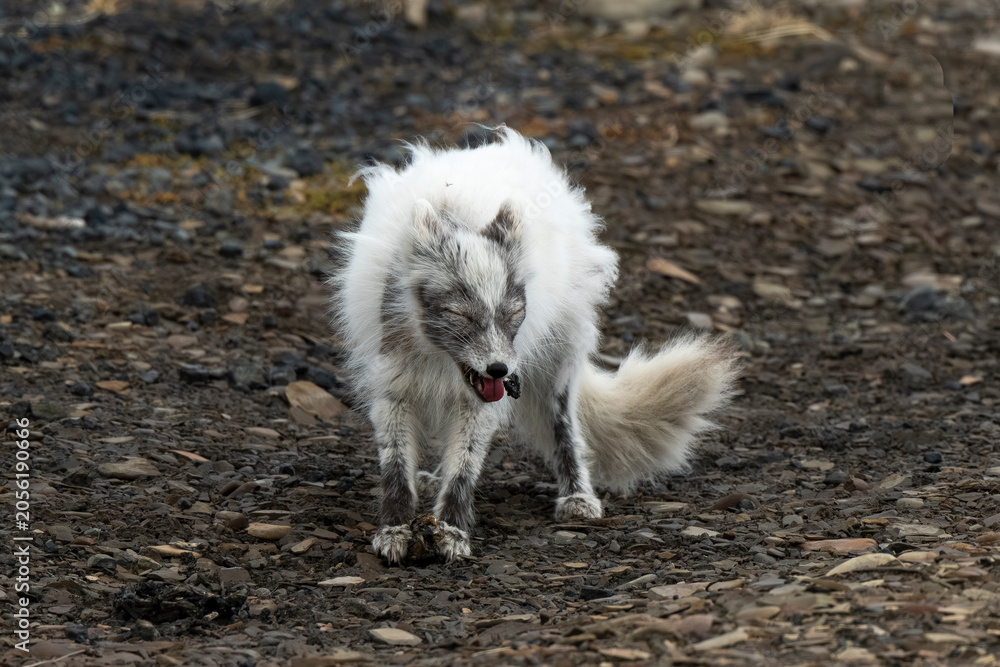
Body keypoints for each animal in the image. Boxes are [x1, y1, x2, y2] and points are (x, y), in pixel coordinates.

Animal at [330, 128, 739, 563]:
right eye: (460, 316)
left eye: (513, 313)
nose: (499, 370)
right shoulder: (393, 389)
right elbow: (396, 468)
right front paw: (394, 528)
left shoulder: (484, 399)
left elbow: (465, 467)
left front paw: (452, 530)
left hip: (558, 362)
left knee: (564, 426)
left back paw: (577, 495)